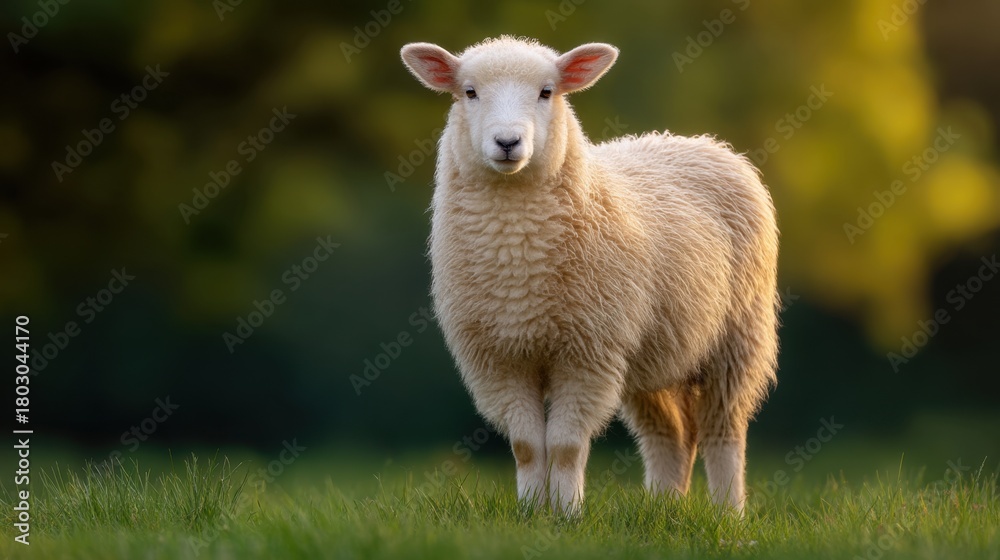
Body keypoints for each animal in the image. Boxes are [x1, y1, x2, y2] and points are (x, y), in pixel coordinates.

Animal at [400, 36, 779, 515]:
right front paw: (531, 513)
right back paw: (663, 509)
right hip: (651, 352)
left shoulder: (587, 353)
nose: (508, 142)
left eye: (547, 92)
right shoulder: (500, 357)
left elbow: (565, 446)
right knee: (670, 435)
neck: (517, 257)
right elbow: (527, 446)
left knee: (722, 431)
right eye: (469, 92)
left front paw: (566, 514)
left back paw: (728, 514)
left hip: (736, 338)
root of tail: (694, 140)